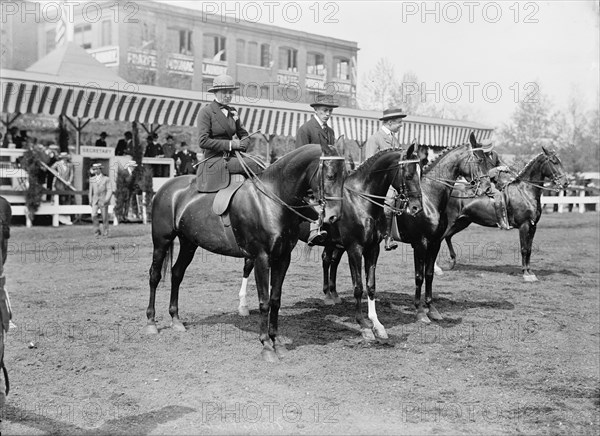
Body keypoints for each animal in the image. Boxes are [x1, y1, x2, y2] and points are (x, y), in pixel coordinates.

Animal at [145, 143, 346, 362]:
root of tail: (166, 188)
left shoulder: (283, 258)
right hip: (161, 241)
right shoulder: (261, 258)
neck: (271, 199)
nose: (334, 217)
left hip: (189, 243)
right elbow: (264, 301)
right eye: (330, 175)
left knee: (176, 273)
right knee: (155, 275)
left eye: (344, 175)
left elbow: (275, 299)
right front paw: (266, 345)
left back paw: (176, 319)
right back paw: (151, 322)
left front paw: (277, 342)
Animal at [239, 146, 422, 340]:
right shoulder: (354, 248)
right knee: (248, 266)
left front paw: (377, 324)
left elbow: (371, 286)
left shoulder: (372, 249)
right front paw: (363, 325)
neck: (361, 202)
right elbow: (358, 287)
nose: (417, 207)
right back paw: (243, 306)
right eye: (409, 175)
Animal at [394, 134, 492, 324]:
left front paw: (431, 309)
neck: (429, 200)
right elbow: (419, 276)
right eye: (479, 159)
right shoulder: (420, 244)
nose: (487, 188)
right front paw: (419, 311)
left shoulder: (435, 243)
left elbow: (429, 274)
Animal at [442, 147, 568, 282]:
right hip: (452, 222)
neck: (524, 191)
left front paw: (530, 272)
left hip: (462, 222)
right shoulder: (524, 226)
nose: (565, 183)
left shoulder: (533, 227)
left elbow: (529, 249)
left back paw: (452, 261)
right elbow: (524, 249)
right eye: (554, 162)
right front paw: (525, 273)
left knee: (447, 237)